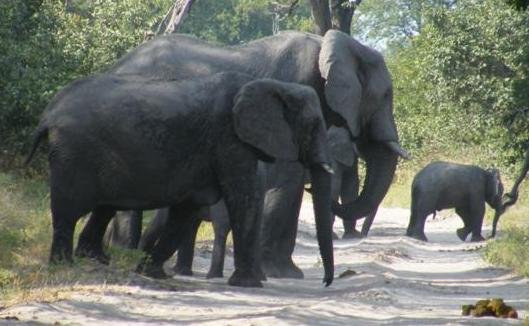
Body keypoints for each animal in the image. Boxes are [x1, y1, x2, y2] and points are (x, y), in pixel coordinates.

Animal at [25, 72, 334, 286]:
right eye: (314, 126)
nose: (326, 282)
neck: (273, 85)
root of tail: (48, 114)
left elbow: (187, 208)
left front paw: (152, 273)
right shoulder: (230, 139)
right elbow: (241, 197)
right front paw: (249, 285)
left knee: (103, 207)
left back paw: (96, 260)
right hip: (73, 153)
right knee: (68, 210)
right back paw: (64, 264)